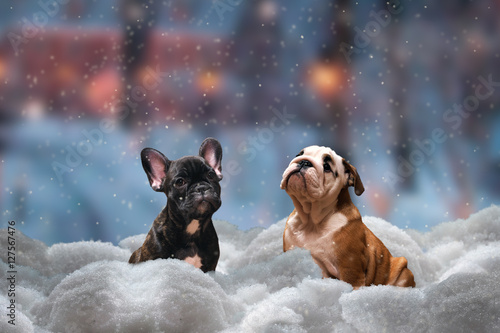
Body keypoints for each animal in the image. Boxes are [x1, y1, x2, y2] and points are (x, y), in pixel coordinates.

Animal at [282, 146, 414, 288]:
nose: (304, 162)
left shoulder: (350, 269)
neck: (311, 220)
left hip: (402, 271)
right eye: (298, 155)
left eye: (327, 167)